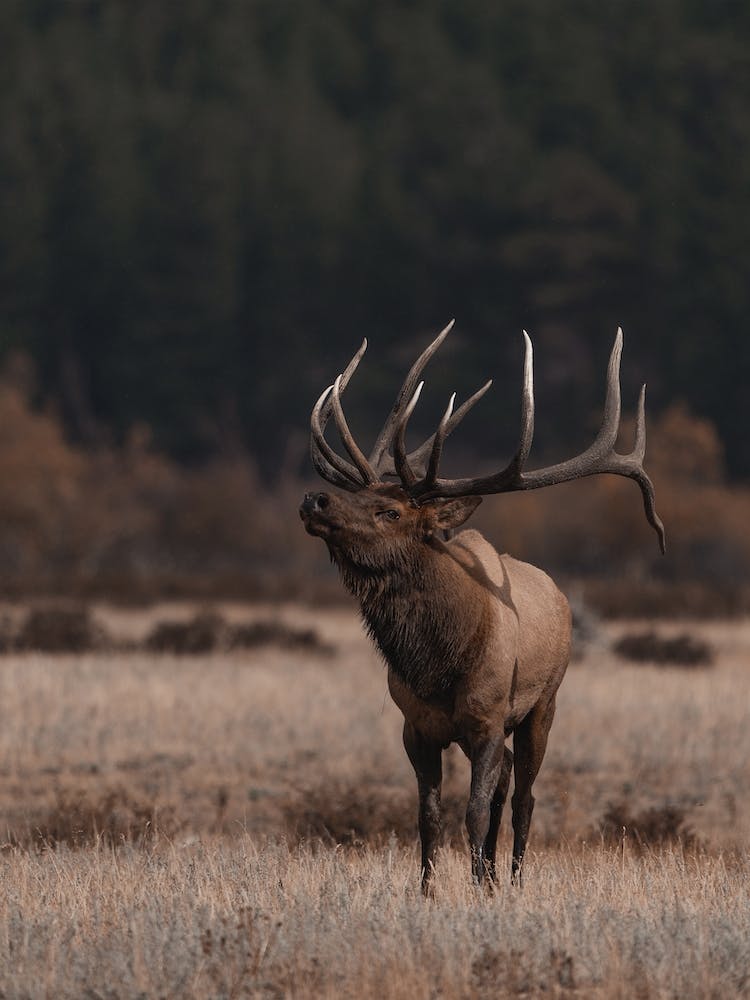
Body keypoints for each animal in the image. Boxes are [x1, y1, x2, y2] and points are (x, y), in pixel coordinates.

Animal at [299, 321, 664, 892]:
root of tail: (562, 597)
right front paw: (430, 891)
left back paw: (510, 880)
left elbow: (474, 809)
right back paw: (492, 875)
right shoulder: (417, 725)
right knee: (507, 782)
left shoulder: (489, 718)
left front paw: (475, 888)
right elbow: (428, 814)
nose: (314, 499)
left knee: (524, 794)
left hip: (544, 703)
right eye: (361, 495)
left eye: (391, 511)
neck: (438, 662)